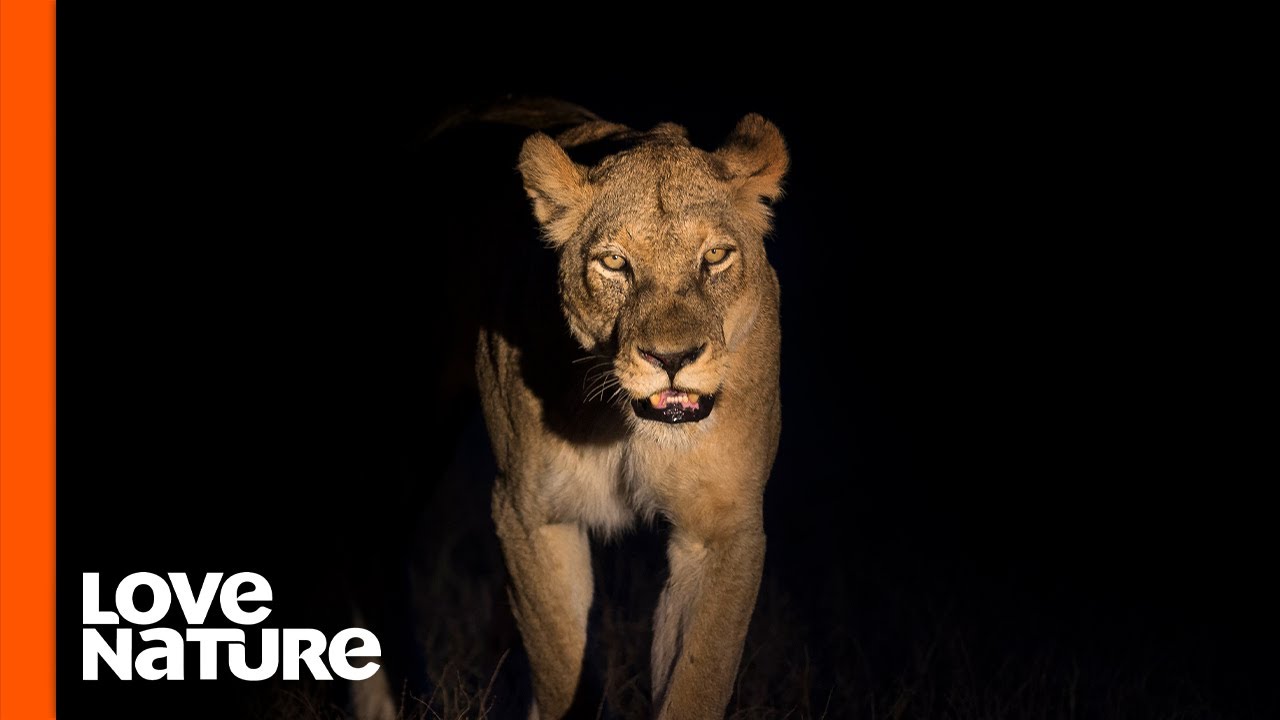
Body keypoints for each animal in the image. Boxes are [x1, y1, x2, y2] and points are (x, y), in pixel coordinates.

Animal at [477, 111, 787, 719]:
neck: (629, 427)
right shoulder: (528, 512)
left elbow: (697, 678)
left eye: (715, 256)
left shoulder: (722, 528)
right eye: (615, 262)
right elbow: (559, 667)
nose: (672, 359)